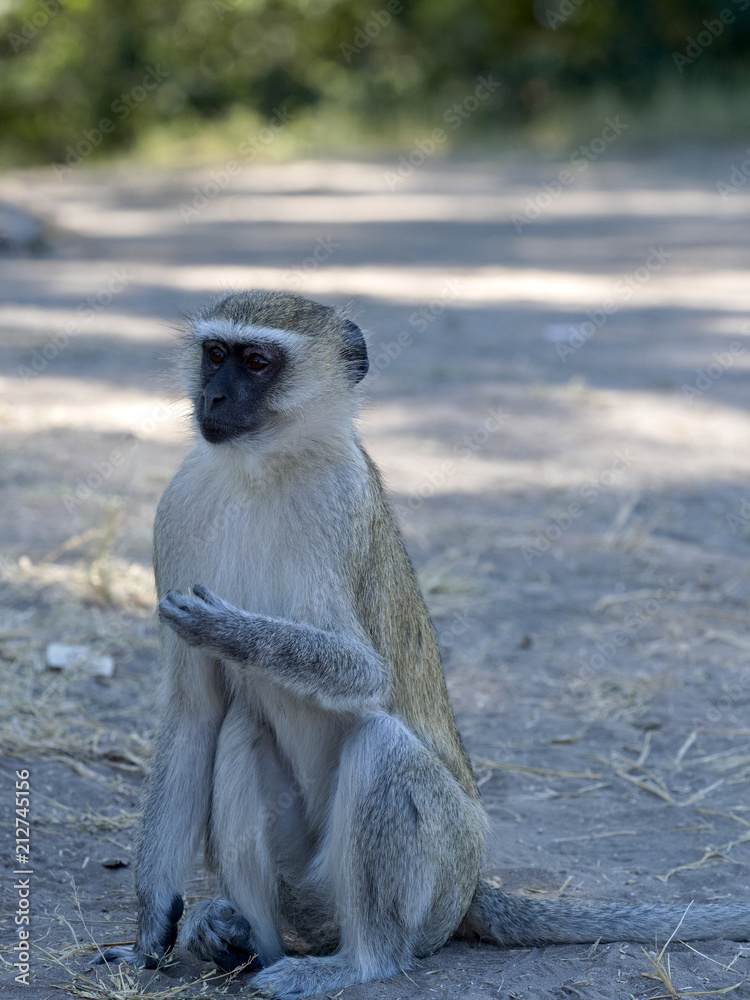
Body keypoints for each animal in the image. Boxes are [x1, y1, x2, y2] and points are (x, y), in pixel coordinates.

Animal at [93, 290, 750, 999]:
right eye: (215, 353)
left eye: (257, 362)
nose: (211, 398)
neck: (262, 471)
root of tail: (472, 885)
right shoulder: (176, 510)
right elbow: (194, 715)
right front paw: (150, 934)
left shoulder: (342, 503)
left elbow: (367, 676)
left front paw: (230, 631)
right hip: (311, 886)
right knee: (241, 732)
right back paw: (245, 943)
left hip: (441, 874)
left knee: (382, 748)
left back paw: (358, 962)